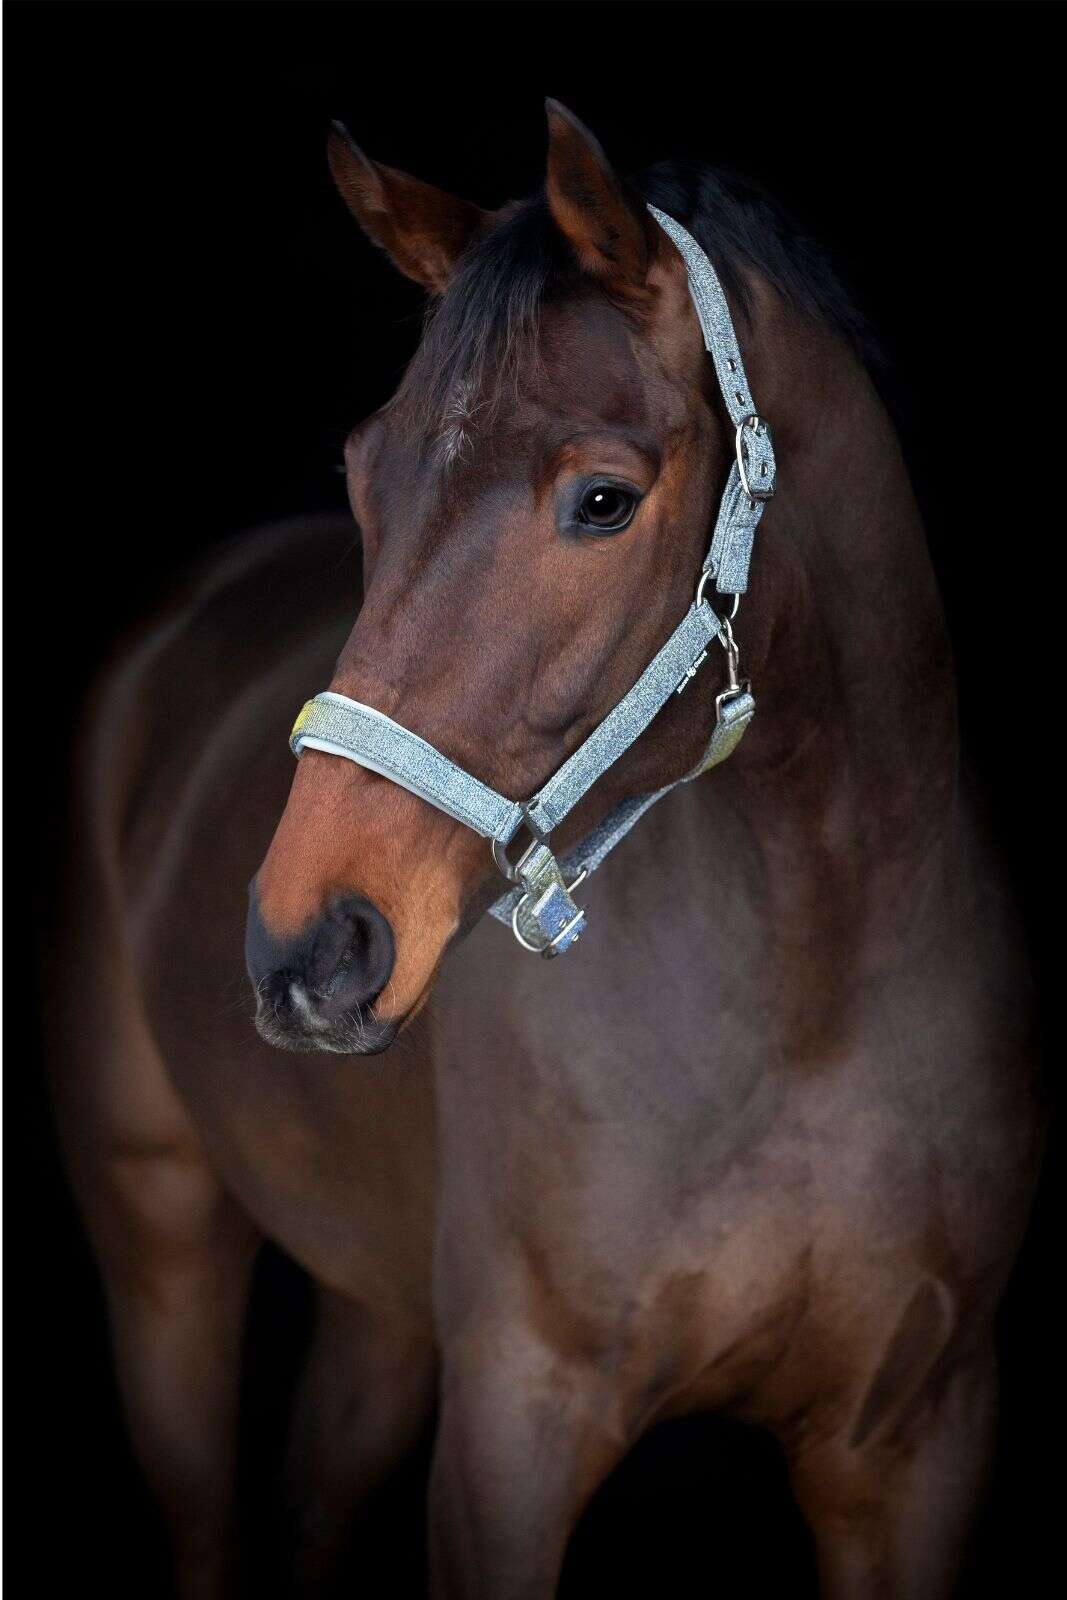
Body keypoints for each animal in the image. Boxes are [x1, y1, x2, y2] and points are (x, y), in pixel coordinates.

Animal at [49, 101, 1042, 1598]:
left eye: (600, 501)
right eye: (363, 475)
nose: (307, 948)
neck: (811, 998)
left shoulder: (915, 1443)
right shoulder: (513, 1430)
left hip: (376, 1308)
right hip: (161, 1238)